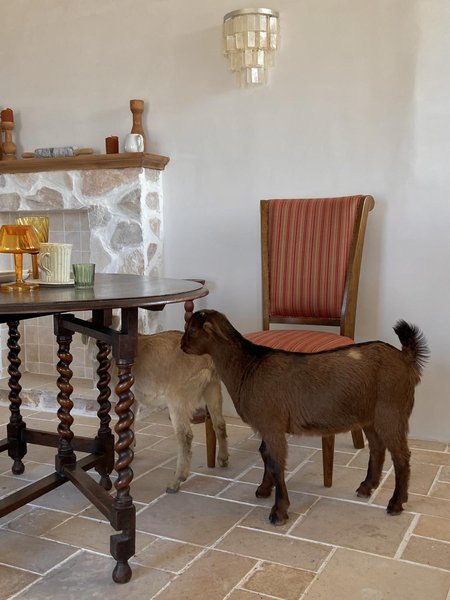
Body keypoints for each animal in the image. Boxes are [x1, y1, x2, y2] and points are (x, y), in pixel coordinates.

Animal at [84, 324, 229, 493]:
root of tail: (206, 359)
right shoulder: (134, 399)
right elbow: (131, 424)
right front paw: (131, 448)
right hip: (213, 388)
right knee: (219, 423)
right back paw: (223, 459)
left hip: (176, 397)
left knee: (185, 436)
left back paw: (176, 481)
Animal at [181, 309, 429, 525]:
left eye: (192, 329)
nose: (182, 345)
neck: (247, 367)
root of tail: (406, 359)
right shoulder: (267, 426)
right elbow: (265, 454)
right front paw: (264, 490)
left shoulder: (272, 424)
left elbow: (275, 461)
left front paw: (279, 512)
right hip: (369, 415)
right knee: (377, 448)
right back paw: (366, 487)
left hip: (391, 412)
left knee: (401, 456)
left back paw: (396, 503)